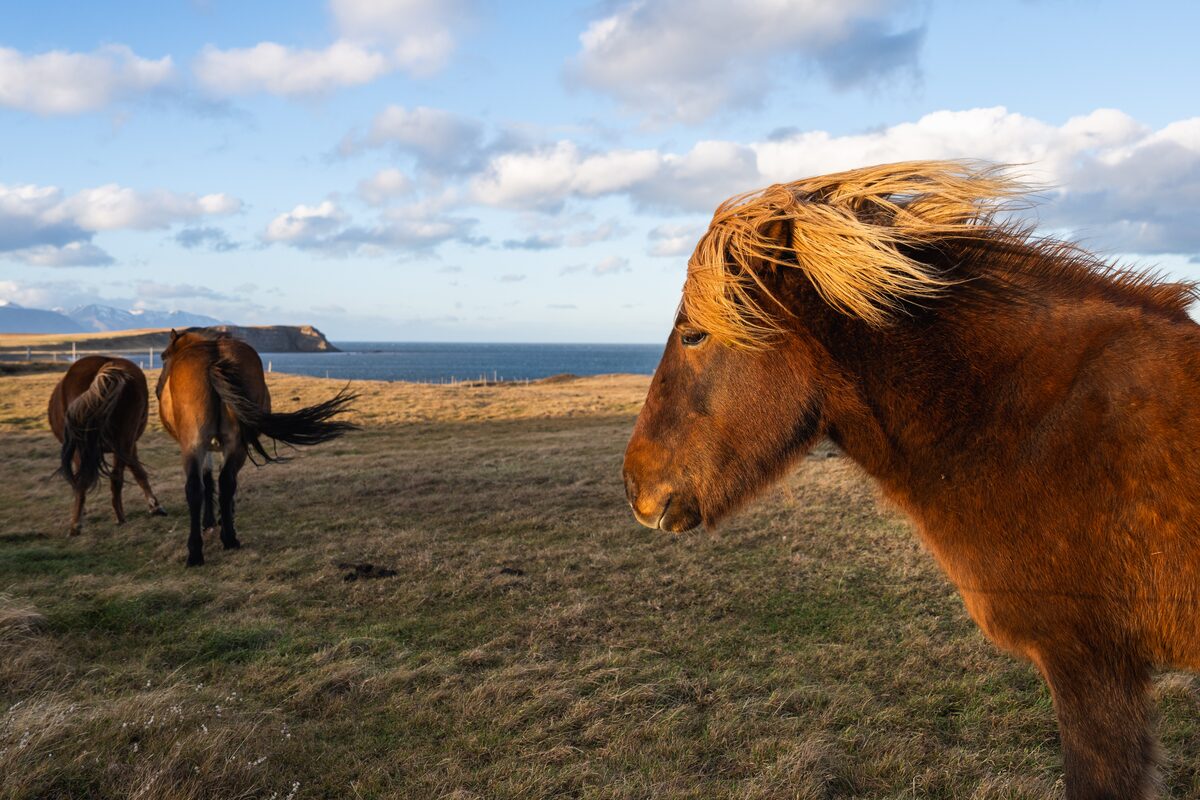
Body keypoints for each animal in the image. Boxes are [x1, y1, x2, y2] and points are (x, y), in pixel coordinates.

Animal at [47, 355, 166, 536]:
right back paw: (119, 517)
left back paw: (79, 524)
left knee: (85, 480)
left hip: (88, 447)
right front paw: (154, 505)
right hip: (122, 441)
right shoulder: (129, 445)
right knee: (116, 477)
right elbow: (138, 471)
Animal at [156, 328, 357, 566]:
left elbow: (208, 480)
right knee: (224, 482)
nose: (158, 389)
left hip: (197, 444)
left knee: (198, 487)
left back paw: (198, 550)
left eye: (163, 357)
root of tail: (214, 359)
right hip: (231, 444)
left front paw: (213, 521)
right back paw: (228, 539)